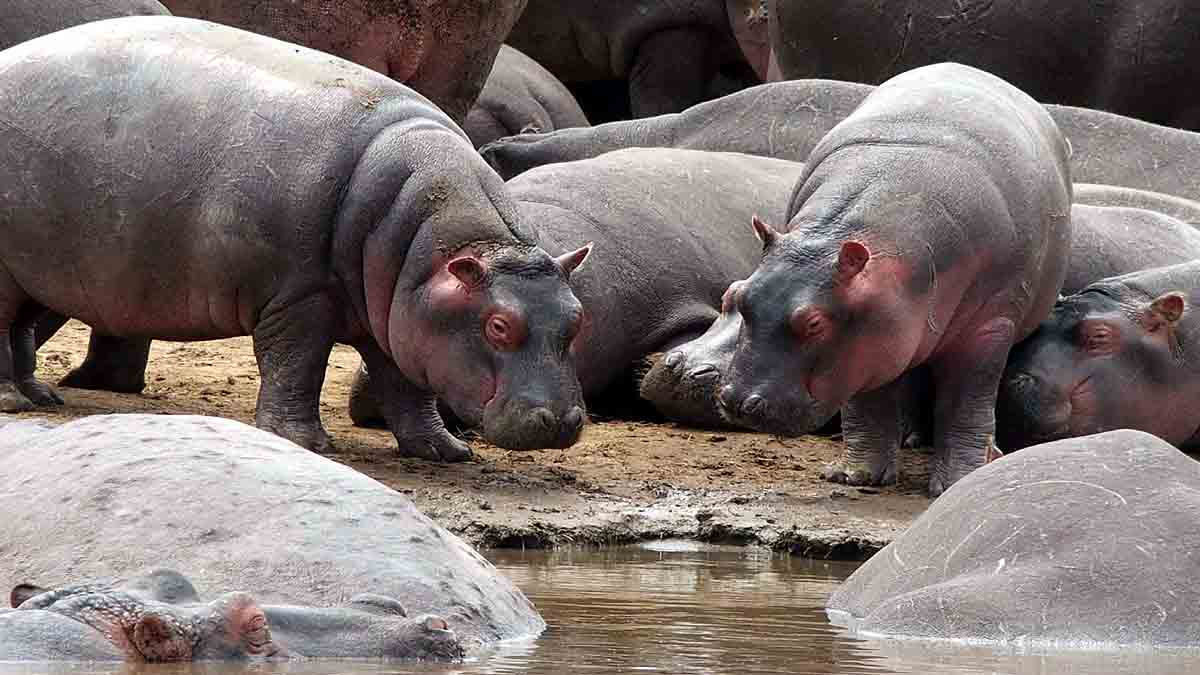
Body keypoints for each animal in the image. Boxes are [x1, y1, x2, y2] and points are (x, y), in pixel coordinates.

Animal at [2, 17, 592, 458]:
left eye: (577, 319)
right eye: (498, 325)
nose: (564, 420)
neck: (432, 257)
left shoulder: (395, 317)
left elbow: (406, 386)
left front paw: (445, 451)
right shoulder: (298, 296)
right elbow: (297, 365)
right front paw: (306, 442)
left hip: (38, 271)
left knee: (20, 329)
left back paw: (42, 397)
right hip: (8, 271)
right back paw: (16, 403)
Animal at [717, 63, 1072, 497]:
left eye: (814, 323)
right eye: (737, 297)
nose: (737, 400)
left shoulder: (989, 326)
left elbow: (966, 400)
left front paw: (957, 480)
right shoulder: (871, 340)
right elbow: (868, 400)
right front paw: (855, 476)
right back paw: (910, 440)